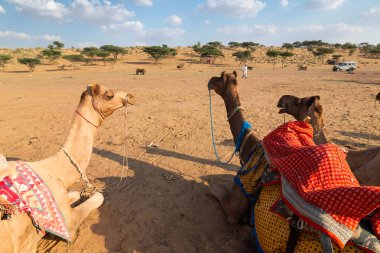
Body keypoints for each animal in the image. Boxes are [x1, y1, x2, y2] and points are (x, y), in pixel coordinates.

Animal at [0, 83, 135, 253]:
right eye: (109, 95)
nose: (131, 96)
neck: (55, 171)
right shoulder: (67, 223)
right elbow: (99, 197)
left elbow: (76, 193)